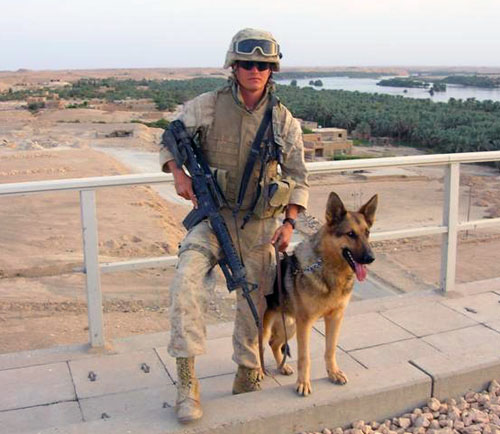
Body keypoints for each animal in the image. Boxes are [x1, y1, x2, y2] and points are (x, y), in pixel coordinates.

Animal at [264, 192, 376, 396]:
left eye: (367, 233)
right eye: (350, 234)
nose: (371, 258)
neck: (330, 269)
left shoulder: (335, 318)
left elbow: (330, 350)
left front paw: (333, 373)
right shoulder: (305, 324)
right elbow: (304, 357)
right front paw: (303, 383)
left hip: (289, 326)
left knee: (274, 343)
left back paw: (282, 367)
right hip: (271, 327)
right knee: (259, 346)